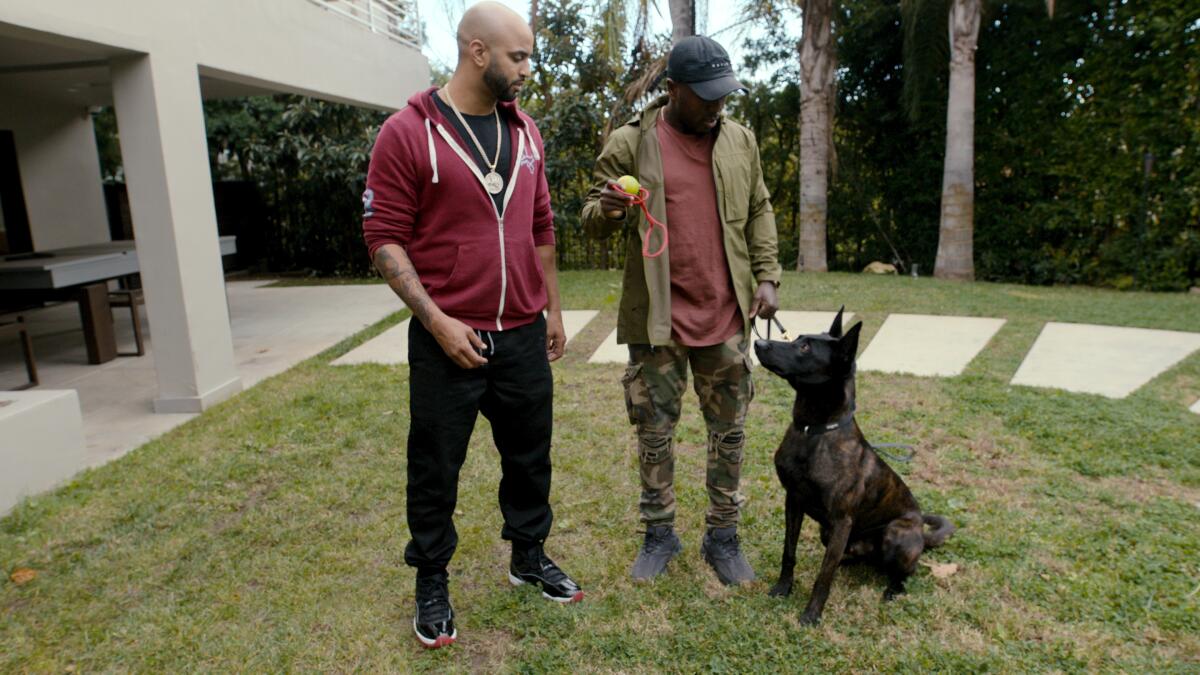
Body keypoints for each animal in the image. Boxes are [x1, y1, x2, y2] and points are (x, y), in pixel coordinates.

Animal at [748, 307, 955, 624]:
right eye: (796, 339)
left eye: (805, 347)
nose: (758, 343)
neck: (813, 431)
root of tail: (921, 532)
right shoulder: (793, 501)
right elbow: (789, 552)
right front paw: (783, 588)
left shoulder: (841, 520)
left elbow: (823, 577)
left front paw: (811, 615)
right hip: (829, 534)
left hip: (895, 534)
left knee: (904, 572)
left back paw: (893, 590)